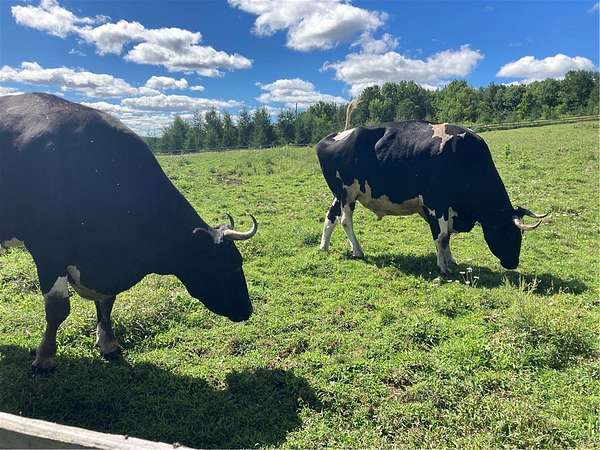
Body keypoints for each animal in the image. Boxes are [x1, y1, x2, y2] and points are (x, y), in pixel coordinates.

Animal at [0, 93, 257, 372]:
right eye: (232, 265)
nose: (247, 310)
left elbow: (107, 303)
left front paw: (108, 344)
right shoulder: (48, 250)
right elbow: (58, 309)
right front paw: (45, 357)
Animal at [316, 100, 547, 275]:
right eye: (508, 232)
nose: (513, 263)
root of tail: (339, 134)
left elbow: (446, 238)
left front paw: (450, 260)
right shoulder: (436, 203)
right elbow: (442, 236)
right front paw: (443, 268)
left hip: (340, 194)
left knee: (331, 216)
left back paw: (324, 247)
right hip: (347, 193)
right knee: (345, 220)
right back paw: (358, 251)